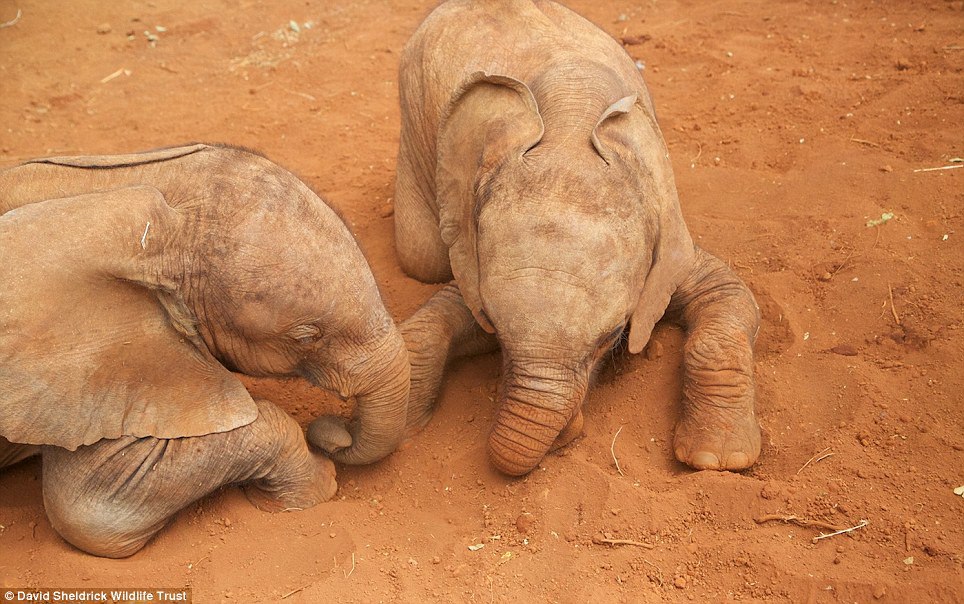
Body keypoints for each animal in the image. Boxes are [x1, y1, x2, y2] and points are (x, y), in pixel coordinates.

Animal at [375, 0, 762, 476]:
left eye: (613, 336)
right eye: (496, 329)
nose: (567, 431)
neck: (570, 126)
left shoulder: (665, 233)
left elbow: (726, 290)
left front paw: (717, 460)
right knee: (423, 257)